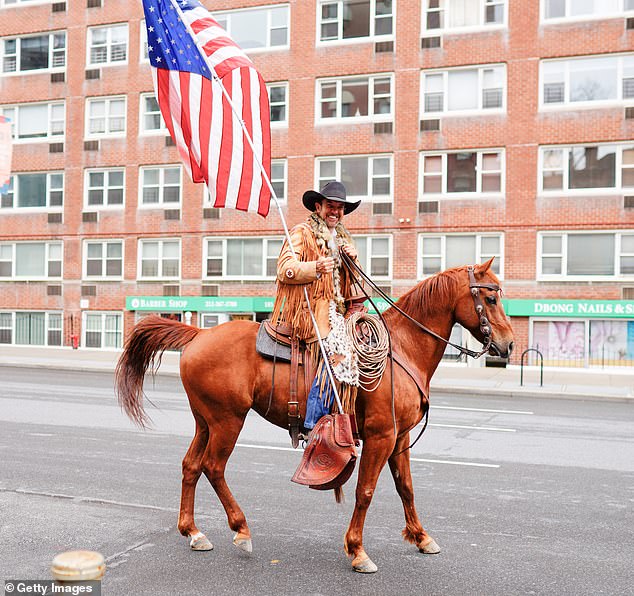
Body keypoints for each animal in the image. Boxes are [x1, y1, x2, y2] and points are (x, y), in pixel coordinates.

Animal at [116, 260, 512, 572]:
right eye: (491, 298)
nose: (507, 345)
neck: (402, 349)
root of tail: (198, 333)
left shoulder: (399, 438)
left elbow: (406, 488)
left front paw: (421, 537)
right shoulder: (381, 436)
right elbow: (366, 491)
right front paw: (357, 550)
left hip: (206, 421)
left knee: (191, 466)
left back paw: (193, 531)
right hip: (228, 420)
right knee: (213, 467)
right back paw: (241, 529)